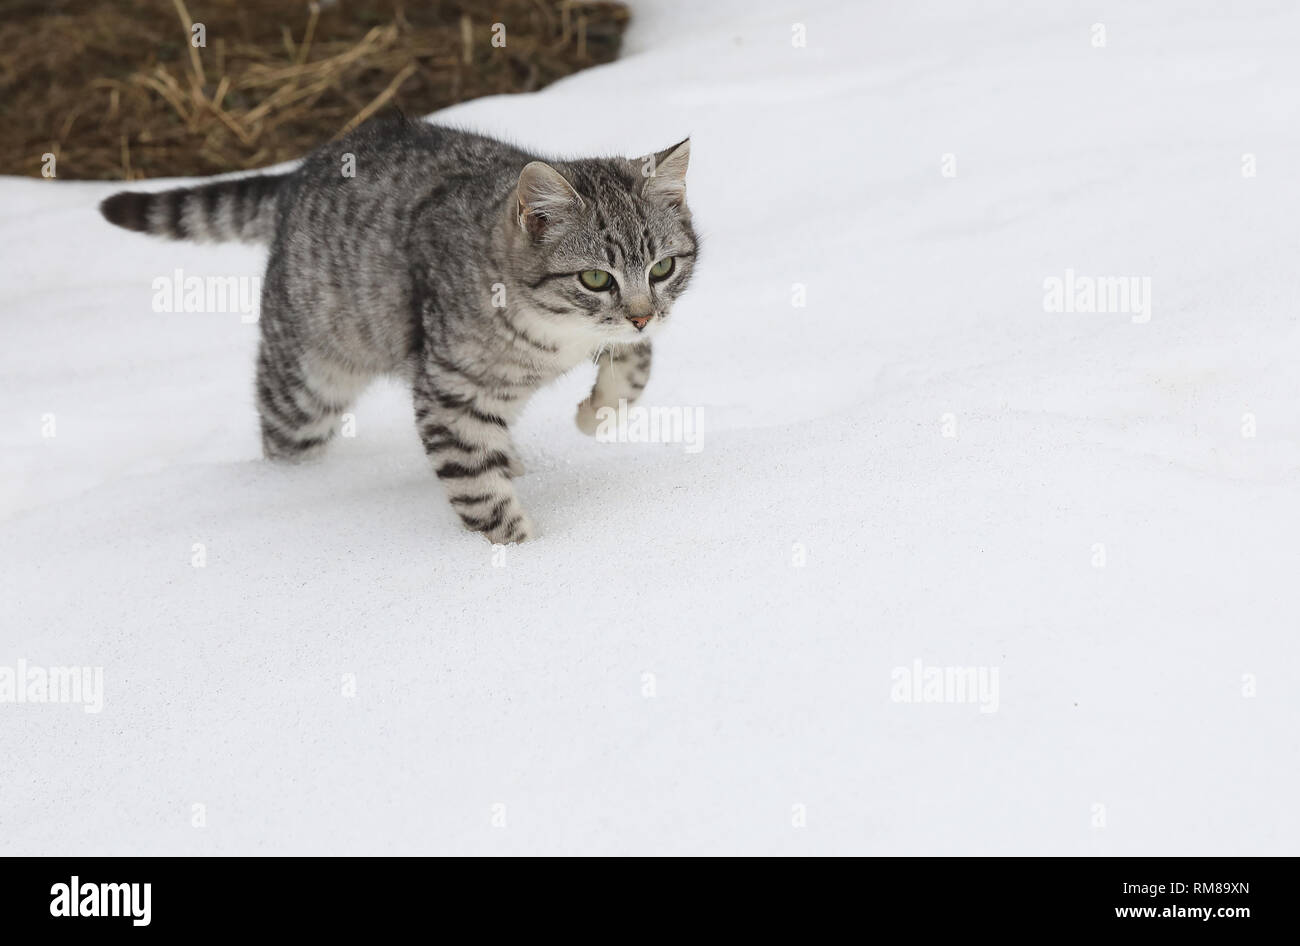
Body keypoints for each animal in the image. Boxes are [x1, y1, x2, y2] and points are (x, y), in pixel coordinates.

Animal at [101, 118, 696, 543]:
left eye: (663, 267)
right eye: (595, 277)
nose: (643, 314)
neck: (555, 334)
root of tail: (302, 169)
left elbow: (636, 363)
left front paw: (596, 413)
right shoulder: (450, 390)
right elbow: (478, 488)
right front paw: (521, 552)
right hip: (307, 383)